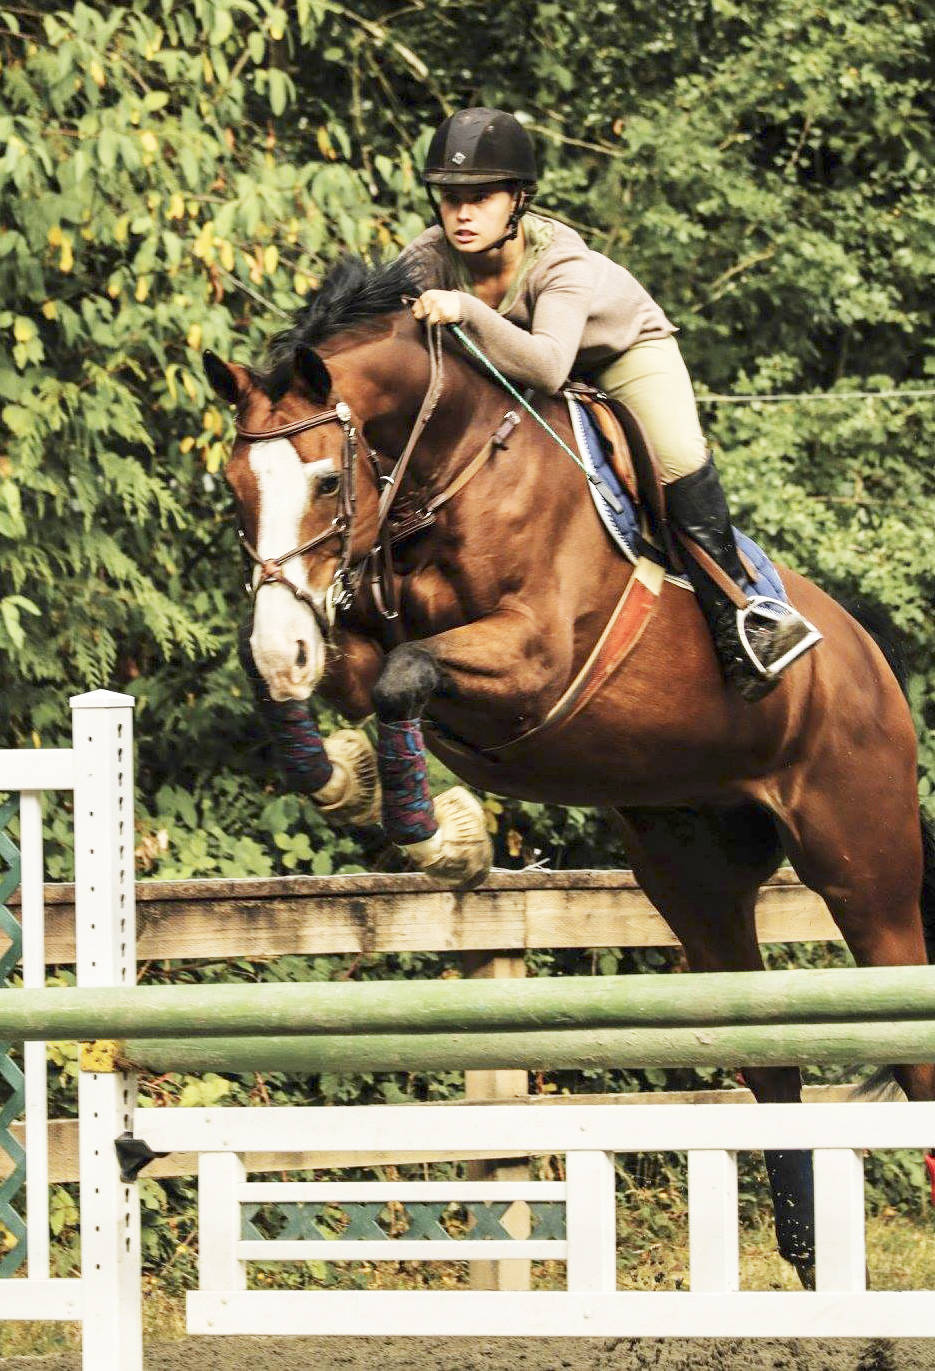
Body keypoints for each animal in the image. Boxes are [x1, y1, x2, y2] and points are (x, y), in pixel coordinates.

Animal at [204, 255, 935, 1285]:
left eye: (322, 478)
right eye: (234, 485)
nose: (284, 646)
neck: (448, 468)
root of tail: (874, 668)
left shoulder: (535, 659)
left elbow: (401, 675)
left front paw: (439, 837)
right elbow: (344, 678)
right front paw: (352, 780)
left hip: (864, 875)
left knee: (912, 1051)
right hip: (695, 881)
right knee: (769, 1058)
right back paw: (802, 1260)